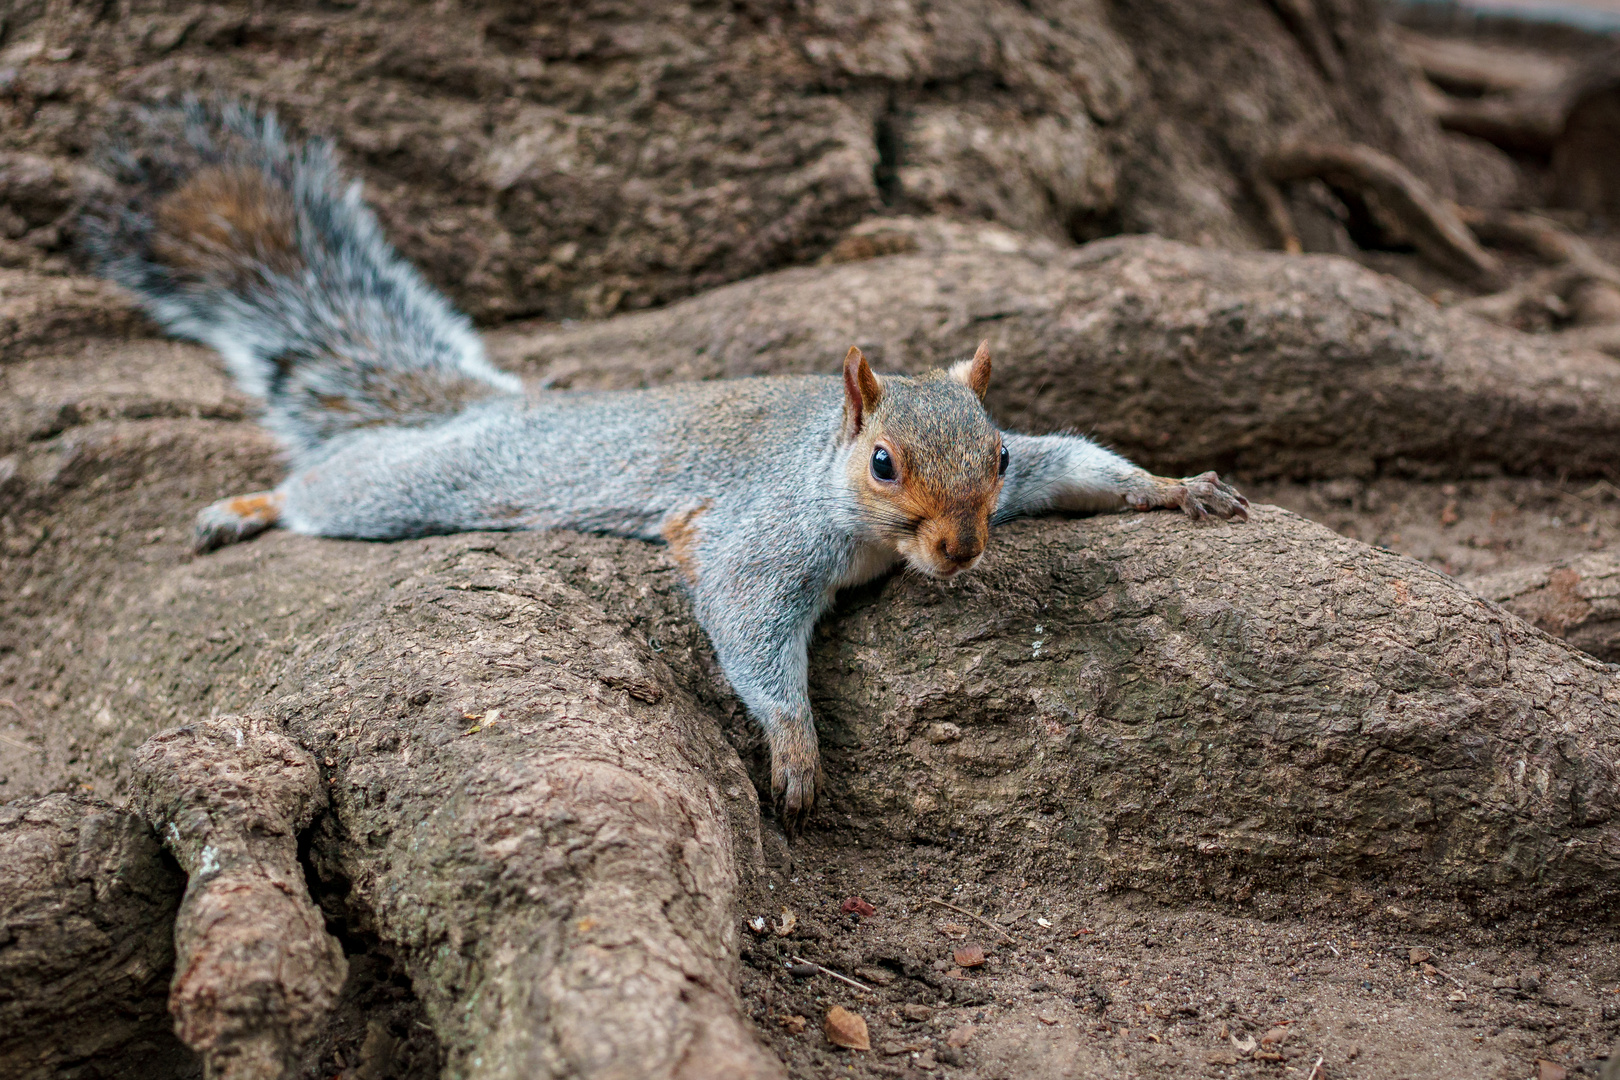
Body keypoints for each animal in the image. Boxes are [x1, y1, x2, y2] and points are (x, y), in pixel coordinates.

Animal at [85, 105, 1250, 835]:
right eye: (882, 463)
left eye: (997, 454)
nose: (964, 552)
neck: (847, 507)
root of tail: (479, 410)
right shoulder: (761, 536)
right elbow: (748, 621)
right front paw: (795, 750)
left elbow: (1079, 465)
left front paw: (1178, 490)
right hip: (404, 490)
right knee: (320, 489)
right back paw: (244, 507)